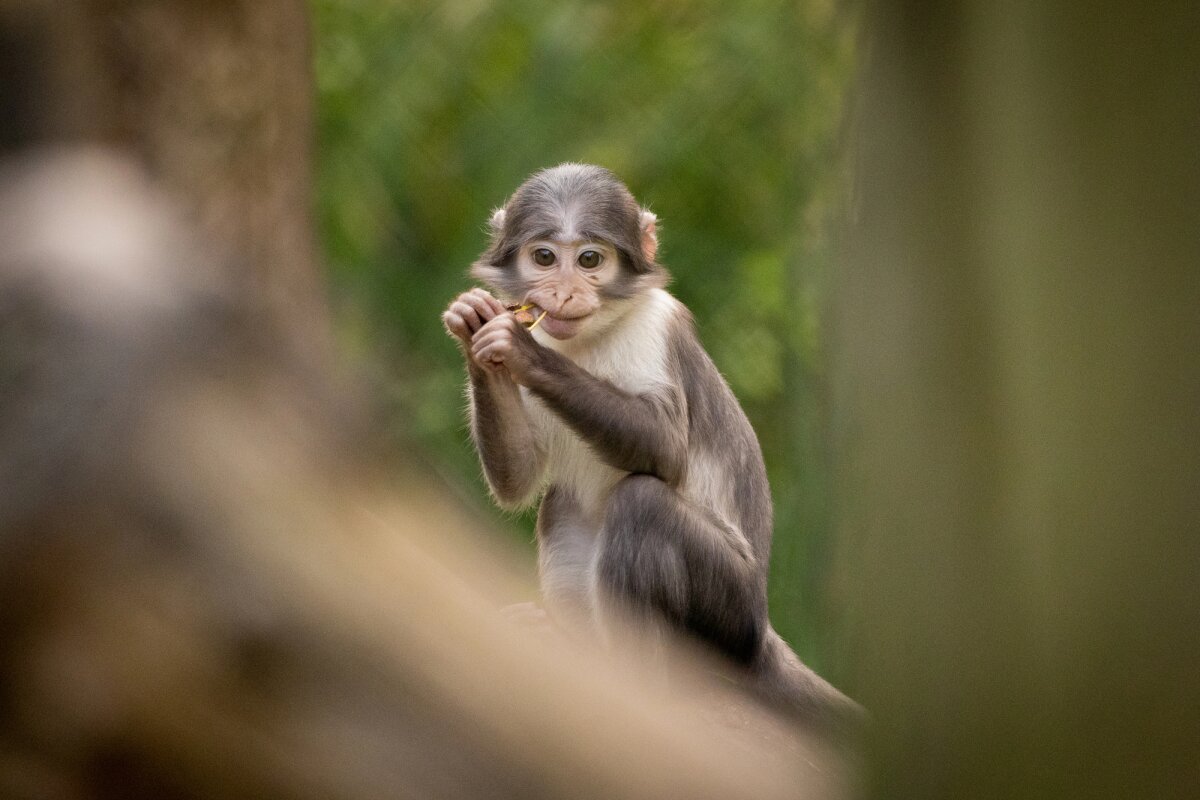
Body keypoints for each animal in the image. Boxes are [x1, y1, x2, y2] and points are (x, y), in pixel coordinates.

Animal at [443, 163, 861, 735]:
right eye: (545, 257)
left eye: (590, 260)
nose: (562, 293)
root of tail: (761, 633)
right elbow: (520, 479)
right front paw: (474, 326)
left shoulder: (658, 325)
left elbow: (665, 448)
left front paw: (521, 349)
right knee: (561, 503)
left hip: (731, 609)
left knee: (643, 505)